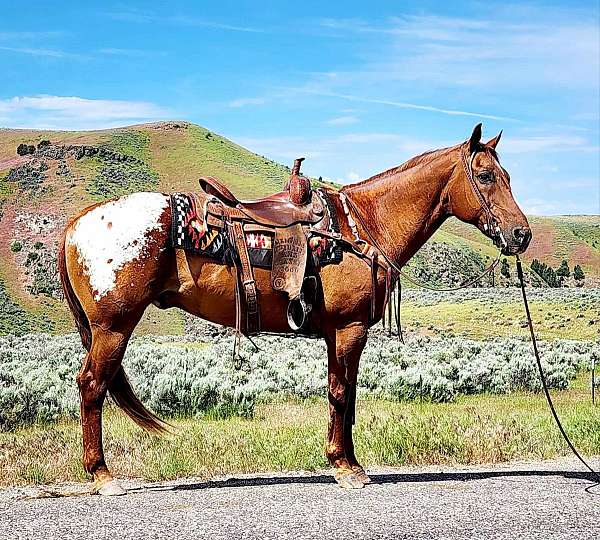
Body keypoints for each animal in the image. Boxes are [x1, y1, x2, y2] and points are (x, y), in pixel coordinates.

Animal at [58, 124, 532, 496]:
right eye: (486, 175)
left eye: (509, 175)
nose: (521, 234)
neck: (365, 226)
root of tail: (80, 220)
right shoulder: (349, 328)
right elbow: (341, 393)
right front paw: (346, 467)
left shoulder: (337, 333)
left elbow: (345, 394)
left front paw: (345, 462)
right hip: (113, 327)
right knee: (91, 386)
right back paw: (102, 475)